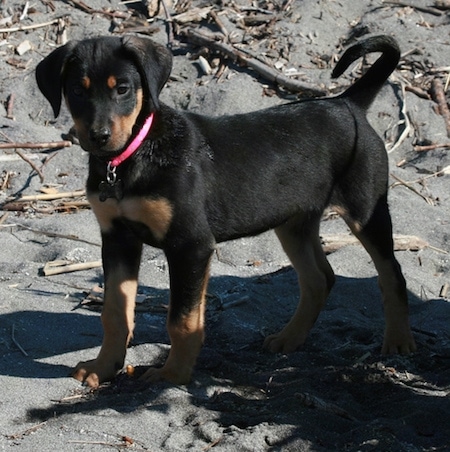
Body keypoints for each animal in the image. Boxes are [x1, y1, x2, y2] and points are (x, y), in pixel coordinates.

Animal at [37, 35, 416, 388]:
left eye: (124, 89)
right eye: (76, 91)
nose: (99, 136)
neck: (132, 156)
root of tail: (348, 103)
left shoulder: (190, 245)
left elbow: (182, 320)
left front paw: (172, 375)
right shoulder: (118, 238)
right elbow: (115, 312)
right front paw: (104, 367)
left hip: (365, 209)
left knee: (392, 273)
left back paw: (398, 342)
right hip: (294, 221)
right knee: (319, 279)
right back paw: (289, 338)